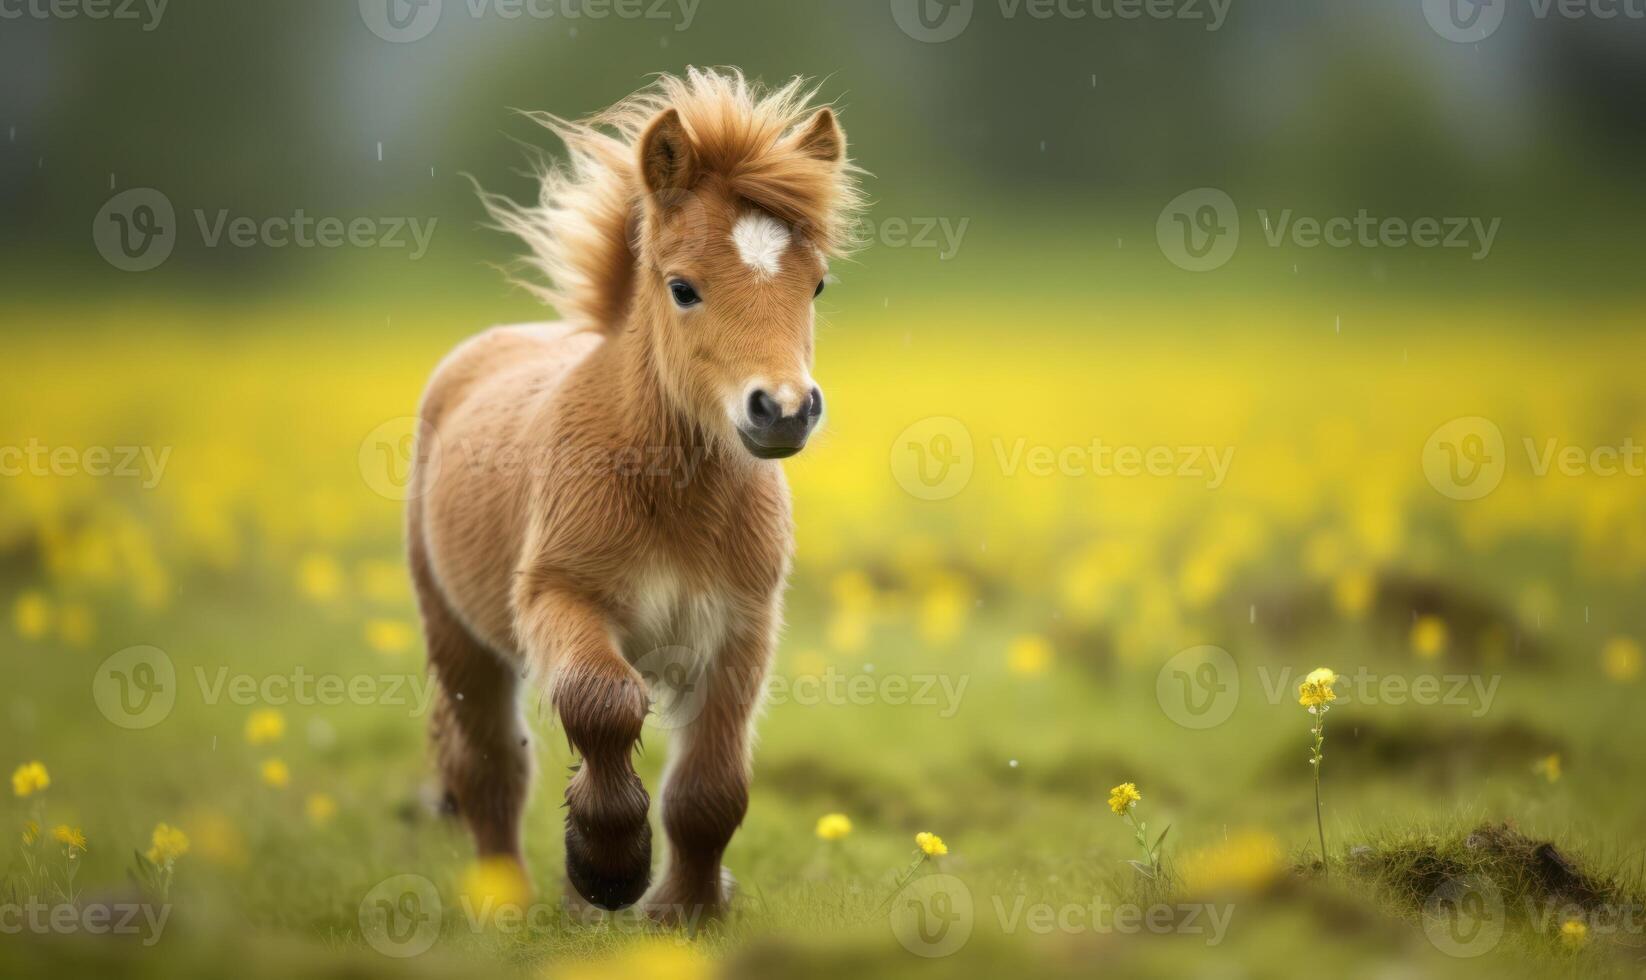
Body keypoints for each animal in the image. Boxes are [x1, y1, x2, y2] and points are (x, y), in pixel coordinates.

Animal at [406, 70, 869, 928]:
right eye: (683, 288)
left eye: (817, 284)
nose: (784, 410)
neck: (673, 497)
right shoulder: (558, 600)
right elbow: (604, 705)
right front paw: (608, 866)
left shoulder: (739, 632)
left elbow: (711, 791)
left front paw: (685, 908)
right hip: (457, 633)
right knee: (488, 764)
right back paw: (507, 902)